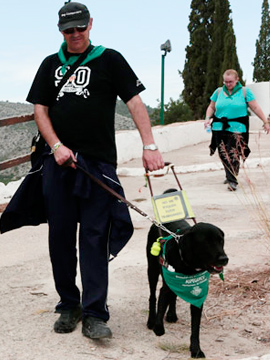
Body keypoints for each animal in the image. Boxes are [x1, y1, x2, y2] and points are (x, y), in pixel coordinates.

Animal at [147, 201, 229, 358]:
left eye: (221, 241)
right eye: (206, 242)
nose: (224, 259)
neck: (189, 265)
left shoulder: (197, 297)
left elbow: (195, 328)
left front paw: (196, 349)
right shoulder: (166, 285)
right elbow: (161, 303)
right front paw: (158, 327)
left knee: (173, 296)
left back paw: (171, 314)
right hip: (152, 269)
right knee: (152, 296)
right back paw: (151, 320)